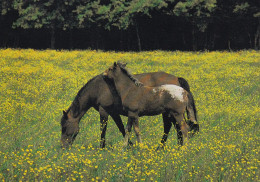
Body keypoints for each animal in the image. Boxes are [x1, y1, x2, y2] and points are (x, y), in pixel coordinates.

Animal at [61, 64, 199, 149]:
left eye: (64, 127)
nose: (63, 147)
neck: (98, 88)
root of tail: (177, 79)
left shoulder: (104, 111)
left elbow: (104, 129)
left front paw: (102, 147)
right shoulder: (116, 113)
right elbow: (123, 128)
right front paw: (129, 145)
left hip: (170, 113)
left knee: (173, 127)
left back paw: (168, 147)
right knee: (175, 127)